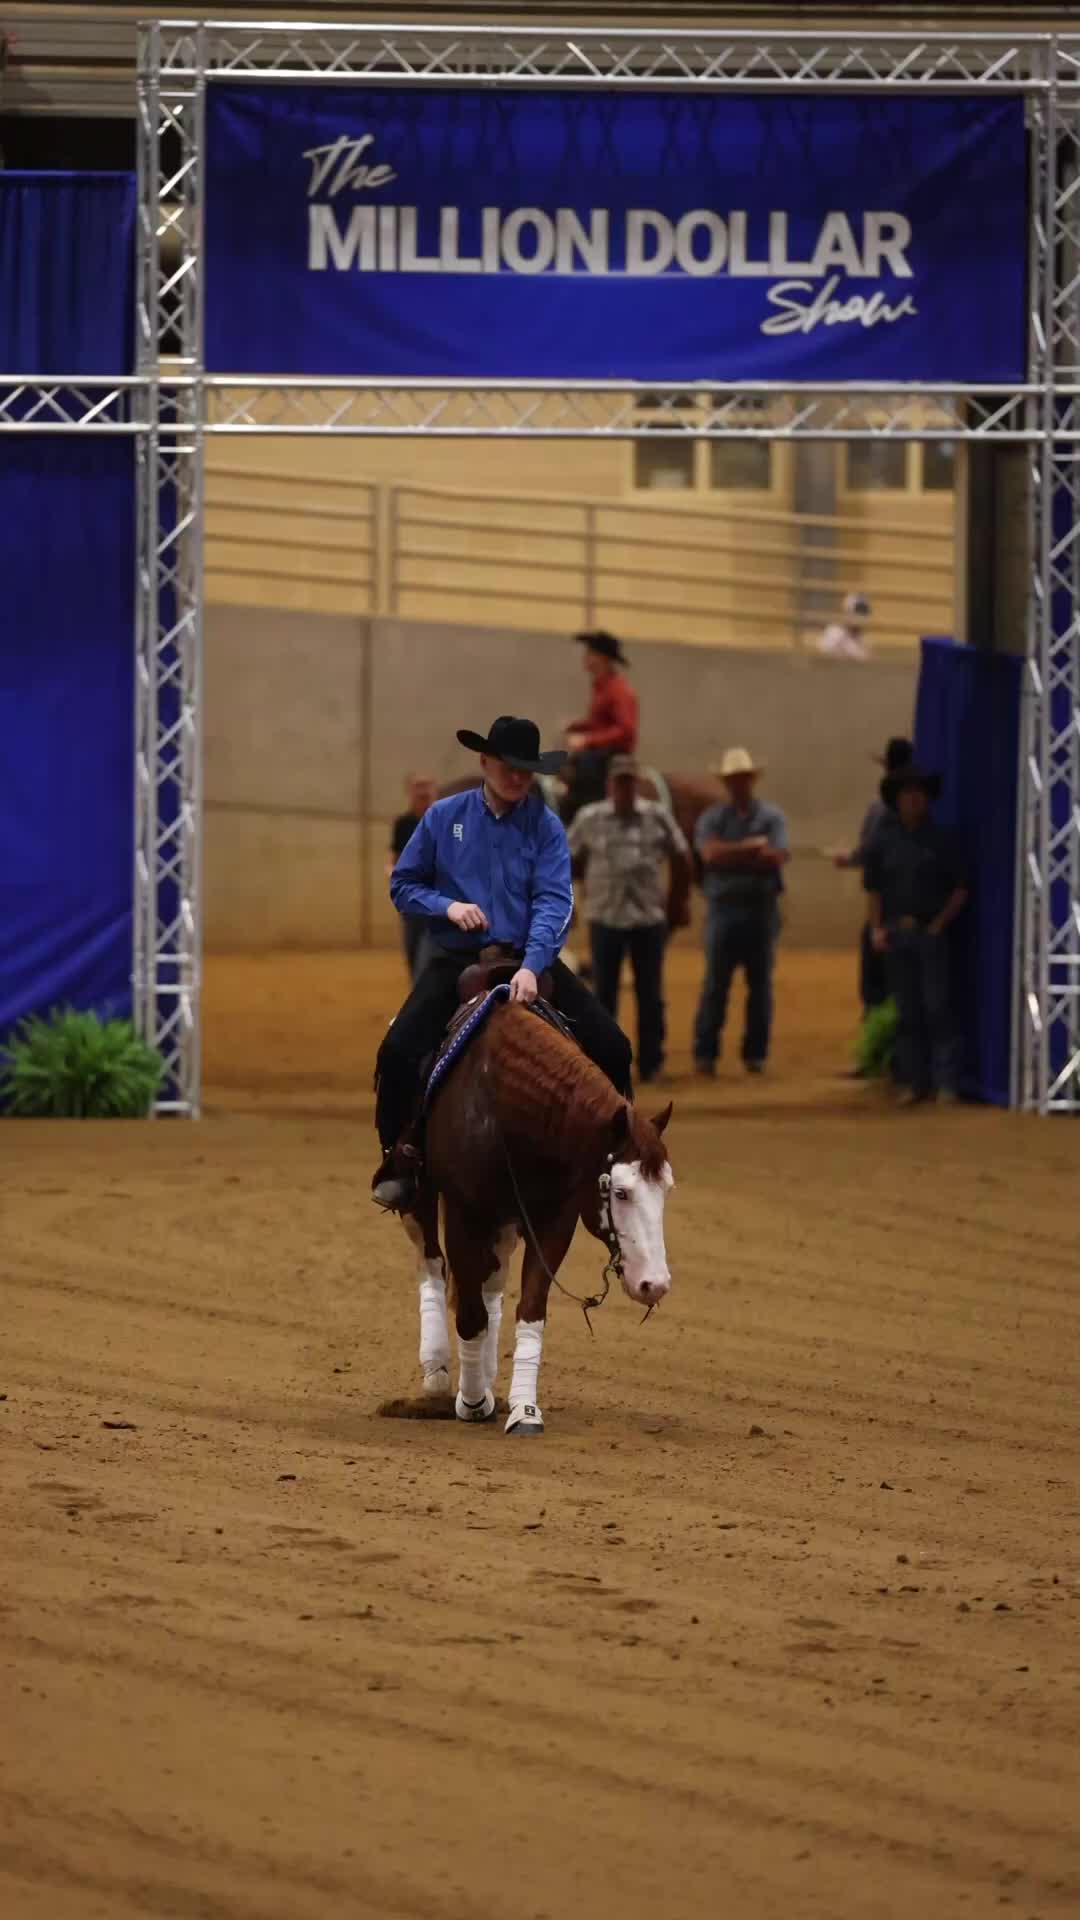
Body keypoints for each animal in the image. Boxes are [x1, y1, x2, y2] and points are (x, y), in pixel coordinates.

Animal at [398, 982, 674, 1436]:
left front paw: (523, 1409)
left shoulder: (554, 1220)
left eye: (665, 1188)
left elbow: (529, 1310)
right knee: (432, 1266)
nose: (655, 1284)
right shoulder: (463, 1214)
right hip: (422, 1199)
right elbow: (469, 1313)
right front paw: (472, 1402)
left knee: (491, 1283)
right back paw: (437, 1372)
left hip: (506, 1220)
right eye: (620, 1192)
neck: (501, 1103)